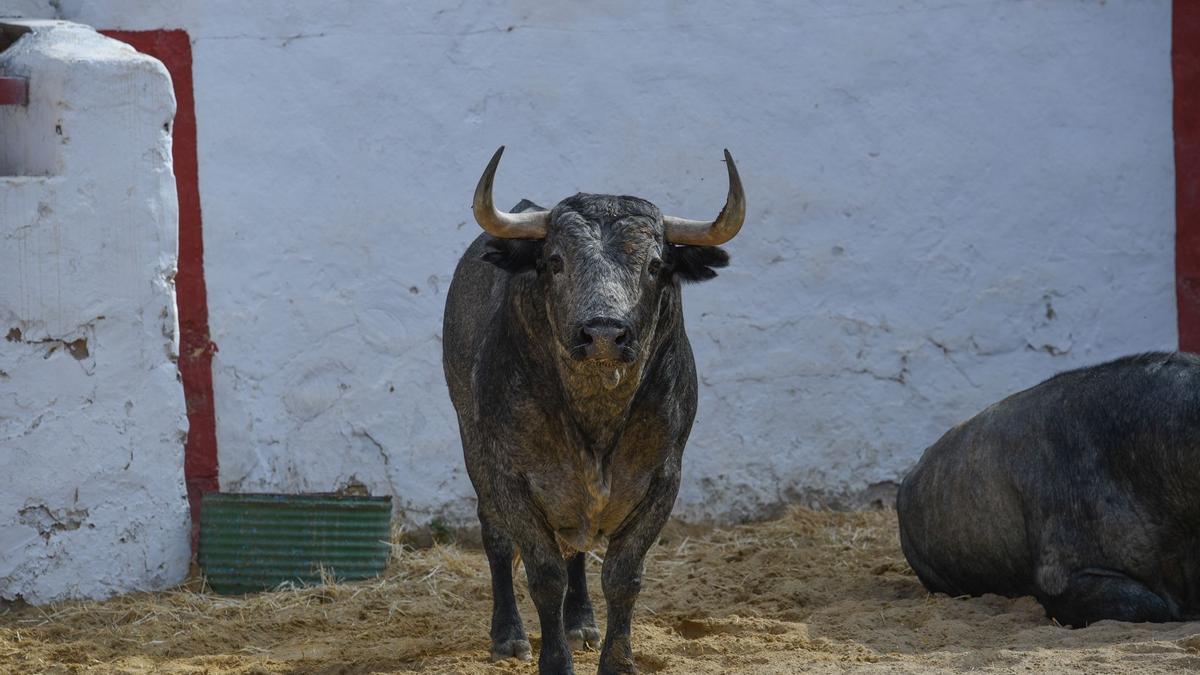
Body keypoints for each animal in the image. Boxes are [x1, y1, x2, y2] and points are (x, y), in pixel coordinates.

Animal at [441, 145, 739, 667]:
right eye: (556, 261)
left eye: (655, 265)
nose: (603, 333)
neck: (596, 421)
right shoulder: (509, 476)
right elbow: (544, 575)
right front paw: (554, 661)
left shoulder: (664, 478)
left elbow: (621, 577)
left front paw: (616, 661)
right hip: (472, 445)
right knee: (496, 536)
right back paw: (508, 635)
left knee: (575, 547)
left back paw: (580, 623)